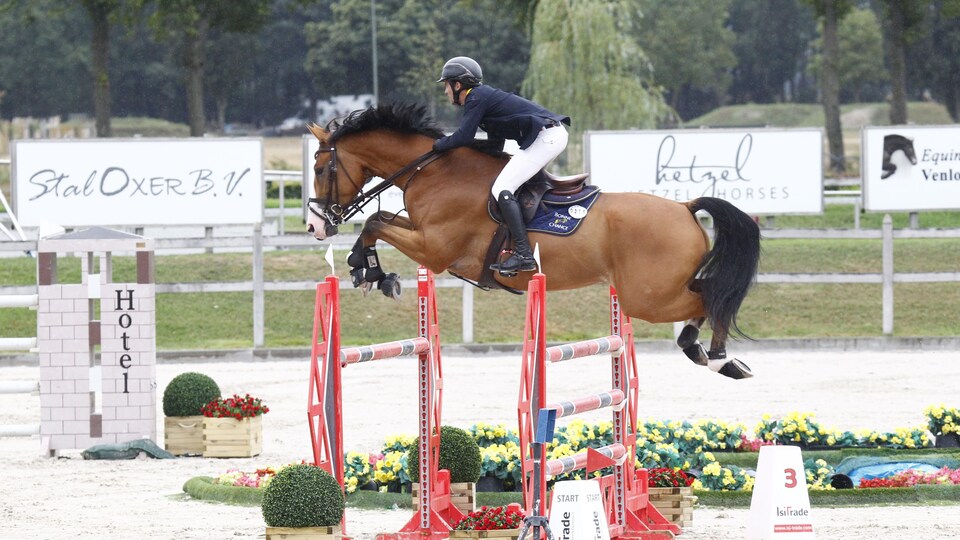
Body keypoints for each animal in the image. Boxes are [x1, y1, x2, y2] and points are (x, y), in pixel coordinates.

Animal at [304, 102, 760, 380]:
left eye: (322, 168)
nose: (315, 227)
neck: (433, 171)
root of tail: (685, 206)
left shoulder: (435, 249)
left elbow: (375, 223)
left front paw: (369, 271)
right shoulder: (425, 238)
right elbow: (377, 219)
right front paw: (371, 272)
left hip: (647, 296)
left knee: (710, 298)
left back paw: (721, 359)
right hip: (658, 289)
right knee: (707, 295)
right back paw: (702, 350)